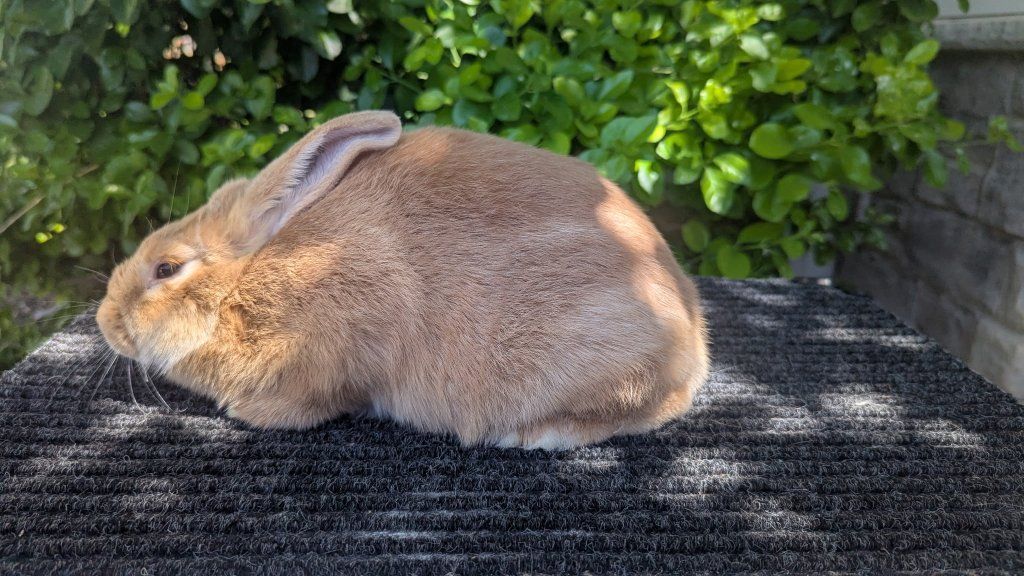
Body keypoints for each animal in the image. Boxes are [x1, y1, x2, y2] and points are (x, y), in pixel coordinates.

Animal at [96, 110, 709, 449]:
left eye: (167, 268)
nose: (104, 320)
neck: (247, 283)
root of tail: (692, 341)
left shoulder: (332, 352)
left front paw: (242, 413)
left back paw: (533, 436)